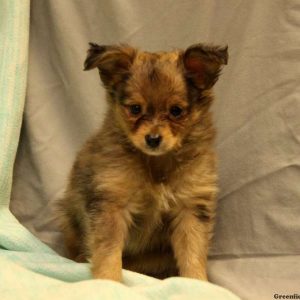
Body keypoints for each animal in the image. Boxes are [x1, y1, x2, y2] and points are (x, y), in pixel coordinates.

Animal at [57, 42, 229, 282]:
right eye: (135, 109)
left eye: (176, 111)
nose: (153, 139)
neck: (156, 164)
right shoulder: (111, 205)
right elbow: (108, 252)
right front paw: (109, 281)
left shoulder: (190, 209)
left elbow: (192, 253)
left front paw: (197, 282)